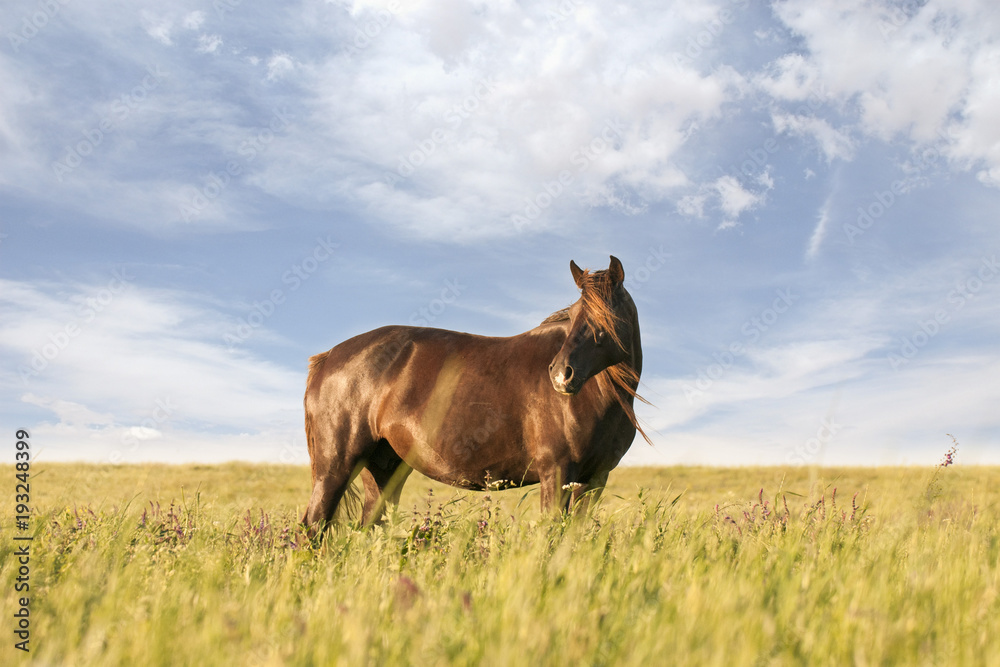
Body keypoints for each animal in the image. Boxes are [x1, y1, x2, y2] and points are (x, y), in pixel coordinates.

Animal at [302, 253, 648, 528]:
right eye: (575, 315)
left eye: (606, 316)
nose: (562, 375)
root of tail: (328, 356)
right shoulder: (557, 472)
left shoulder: (593, 479)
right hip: (336, 468)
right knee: (313, 526)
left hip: (383, 470)